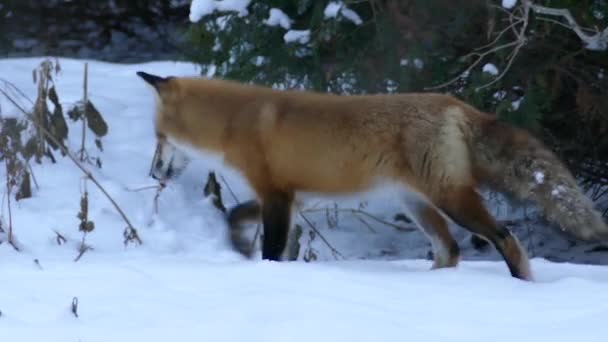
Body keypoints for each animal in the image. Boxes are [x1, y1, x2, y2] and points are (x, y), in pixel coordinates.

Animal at [138, 70, 608, 280]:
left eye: (158, 138)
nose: (152, 170)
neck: (239, 121)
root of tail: (454, 103)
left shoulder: (276, 196)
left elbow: (270, 248)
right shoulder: (292, 197)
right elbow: (236, 216)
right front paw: (239, 246)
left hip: (450, 199)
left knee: (504, 237)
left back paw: (521, 287)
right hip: (417, 204)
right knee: (451, 250)